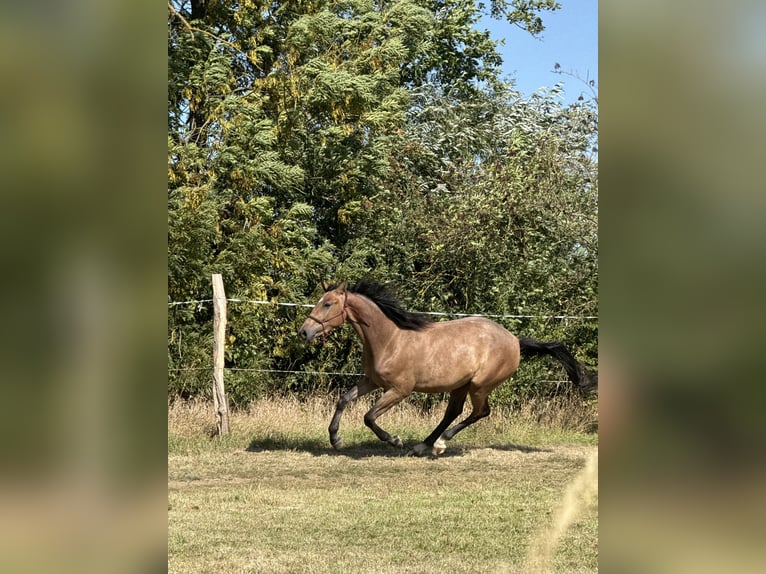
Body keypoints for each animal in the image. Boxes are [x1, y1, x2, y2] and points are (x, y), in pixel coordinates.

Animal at [298, 280, 596, 456]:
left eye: (327, 304)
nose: (304, 332)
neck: (389, 339)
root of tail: (514, 340)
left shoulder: (399, 390)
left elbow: (369, 417)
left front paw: (394, 440)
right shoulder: (371, 381)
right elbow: (343, 400)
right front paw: (335, 439)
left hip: (479, 385)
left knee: (479, 412)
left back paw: (440, 442)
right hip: (460, 385)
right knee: (453, 412)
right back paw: (424, 445)